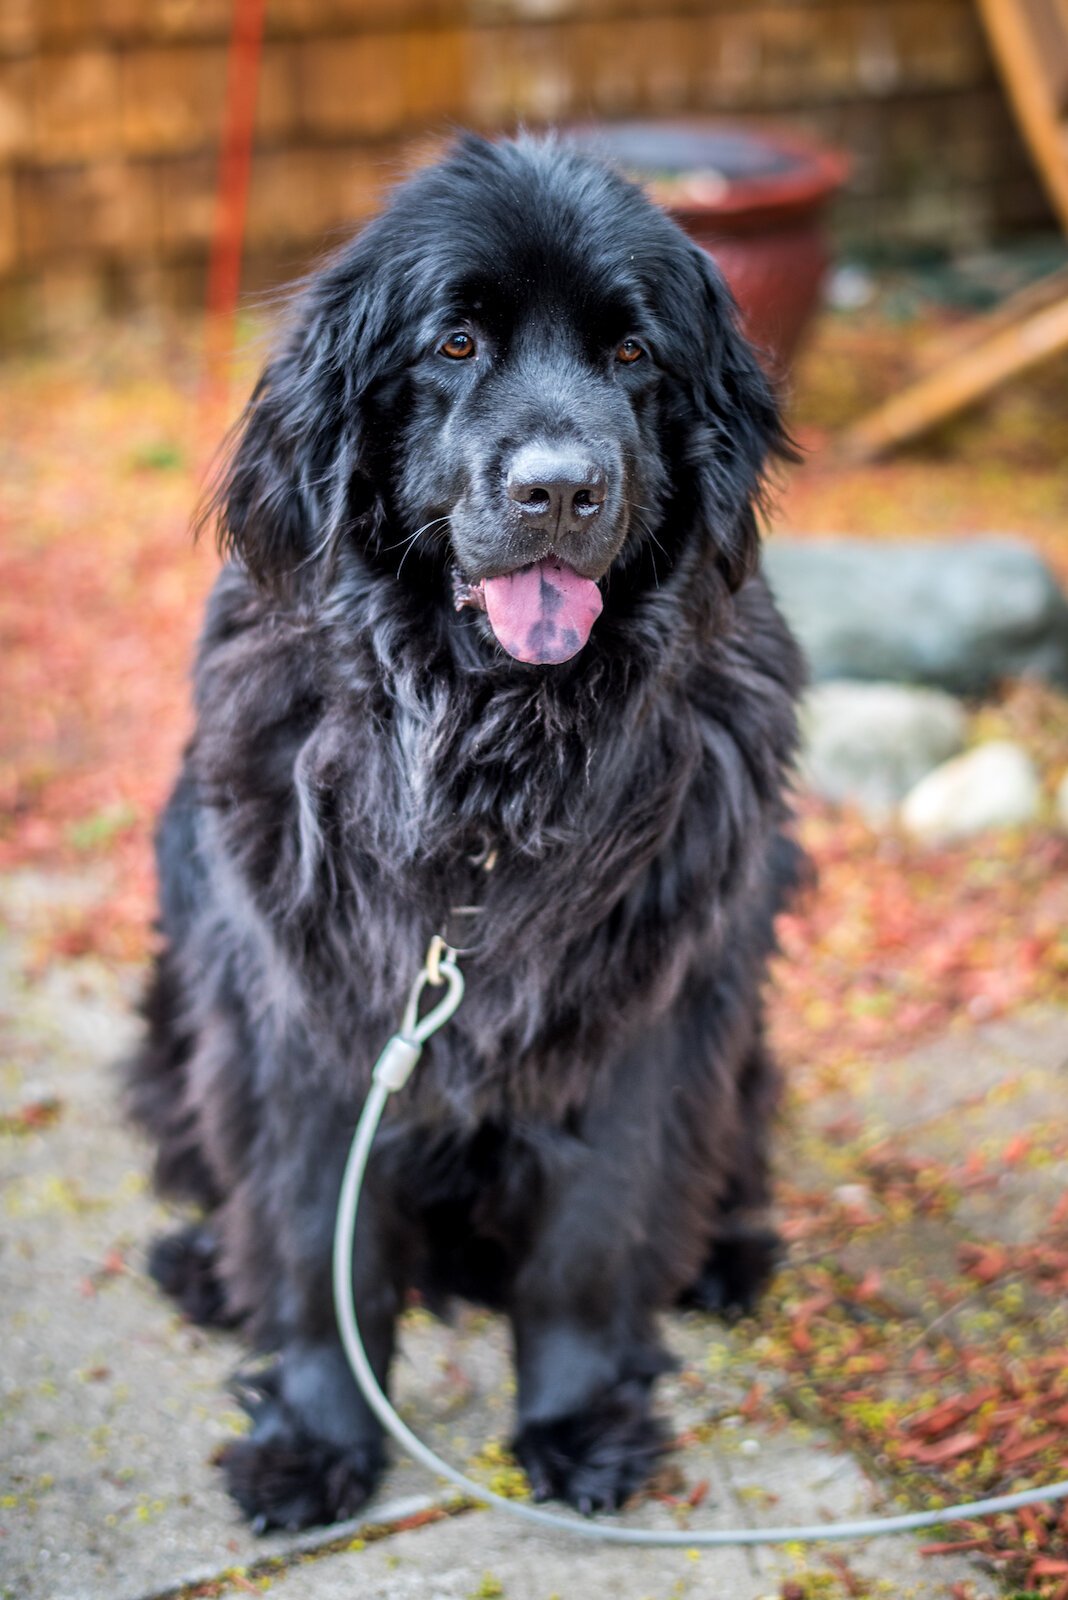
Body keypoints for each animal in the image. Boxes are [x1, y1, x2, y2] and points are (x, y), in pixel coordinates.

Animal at [127, 131, 799, 1529]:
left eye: (634, 353)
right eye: (453, 343)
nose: (561, 489)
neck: (492, 766)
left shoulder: (642, 1015)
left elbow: (590, 1241)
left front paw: (578, 1421)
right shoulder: (302, 1008)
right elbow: (316, 1236)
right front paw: (314, 1438)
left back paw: (726, 1253)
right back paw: (208, 1265)